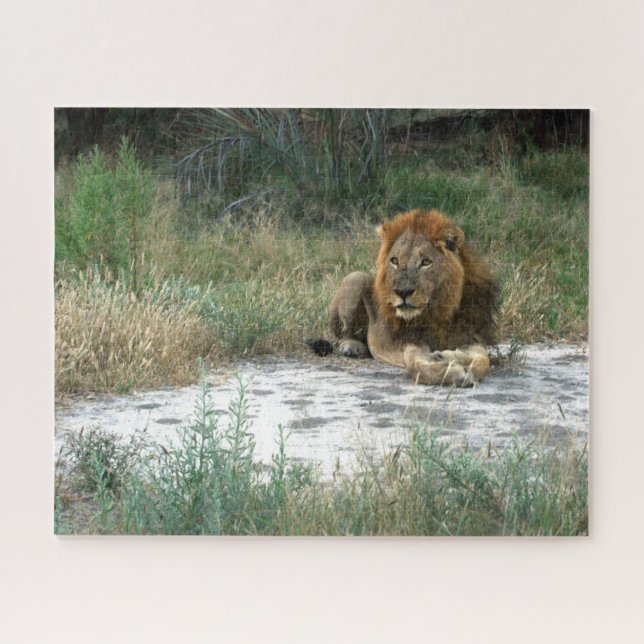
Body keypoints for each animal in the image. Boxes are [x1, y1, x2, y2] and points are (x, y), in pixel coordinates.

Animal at [325, 209, 498, 386]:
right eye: (394, 260)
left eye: (426, 262)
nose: (402, 291)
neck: (439, 311)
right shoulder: (410, 342)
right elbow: (416, 366)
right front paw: (453, 373)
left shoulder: (469, 338)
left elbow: (483, 360)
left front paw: (449, 357)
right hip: (356, 278)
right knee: (344, 333)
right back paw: (351, 347)